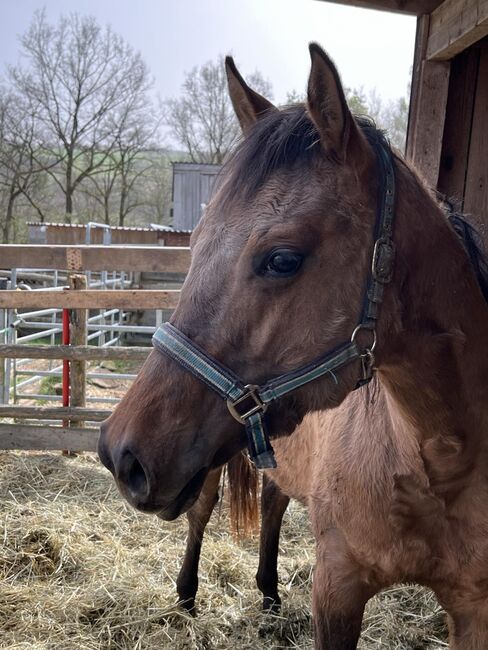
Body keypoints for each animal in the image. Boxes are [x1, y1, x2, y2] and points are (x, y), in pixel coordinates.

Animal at [98, 43, 488, 644]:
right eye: (195, 245)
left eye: (282, 259)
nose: (120, 455)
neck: (437, 461)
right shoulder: (336, 588)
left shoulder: (474, 609)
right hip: (206, 470)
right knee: (203, 512)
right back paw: (186, 596)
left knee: (274, 502)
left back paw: (268, 593)